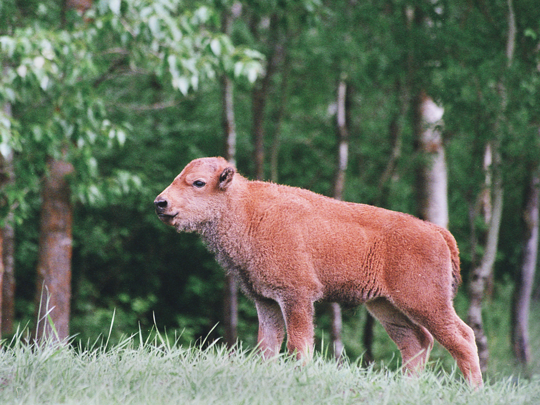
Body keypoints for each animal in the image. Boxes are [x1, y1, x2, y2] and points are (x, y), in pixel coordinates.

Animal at [154, 155, 484, 386]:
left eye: (198, 182)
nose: (160, 203)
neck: (246, 210)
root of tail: (436, 231)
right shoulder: (266, 301)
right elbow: (268, 345)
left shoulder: (296, 297)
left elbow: (298, 344)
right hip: (386, 306)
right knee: (416, 342)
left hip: (426, 303)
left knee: (462, 338)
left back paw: (474, 390)